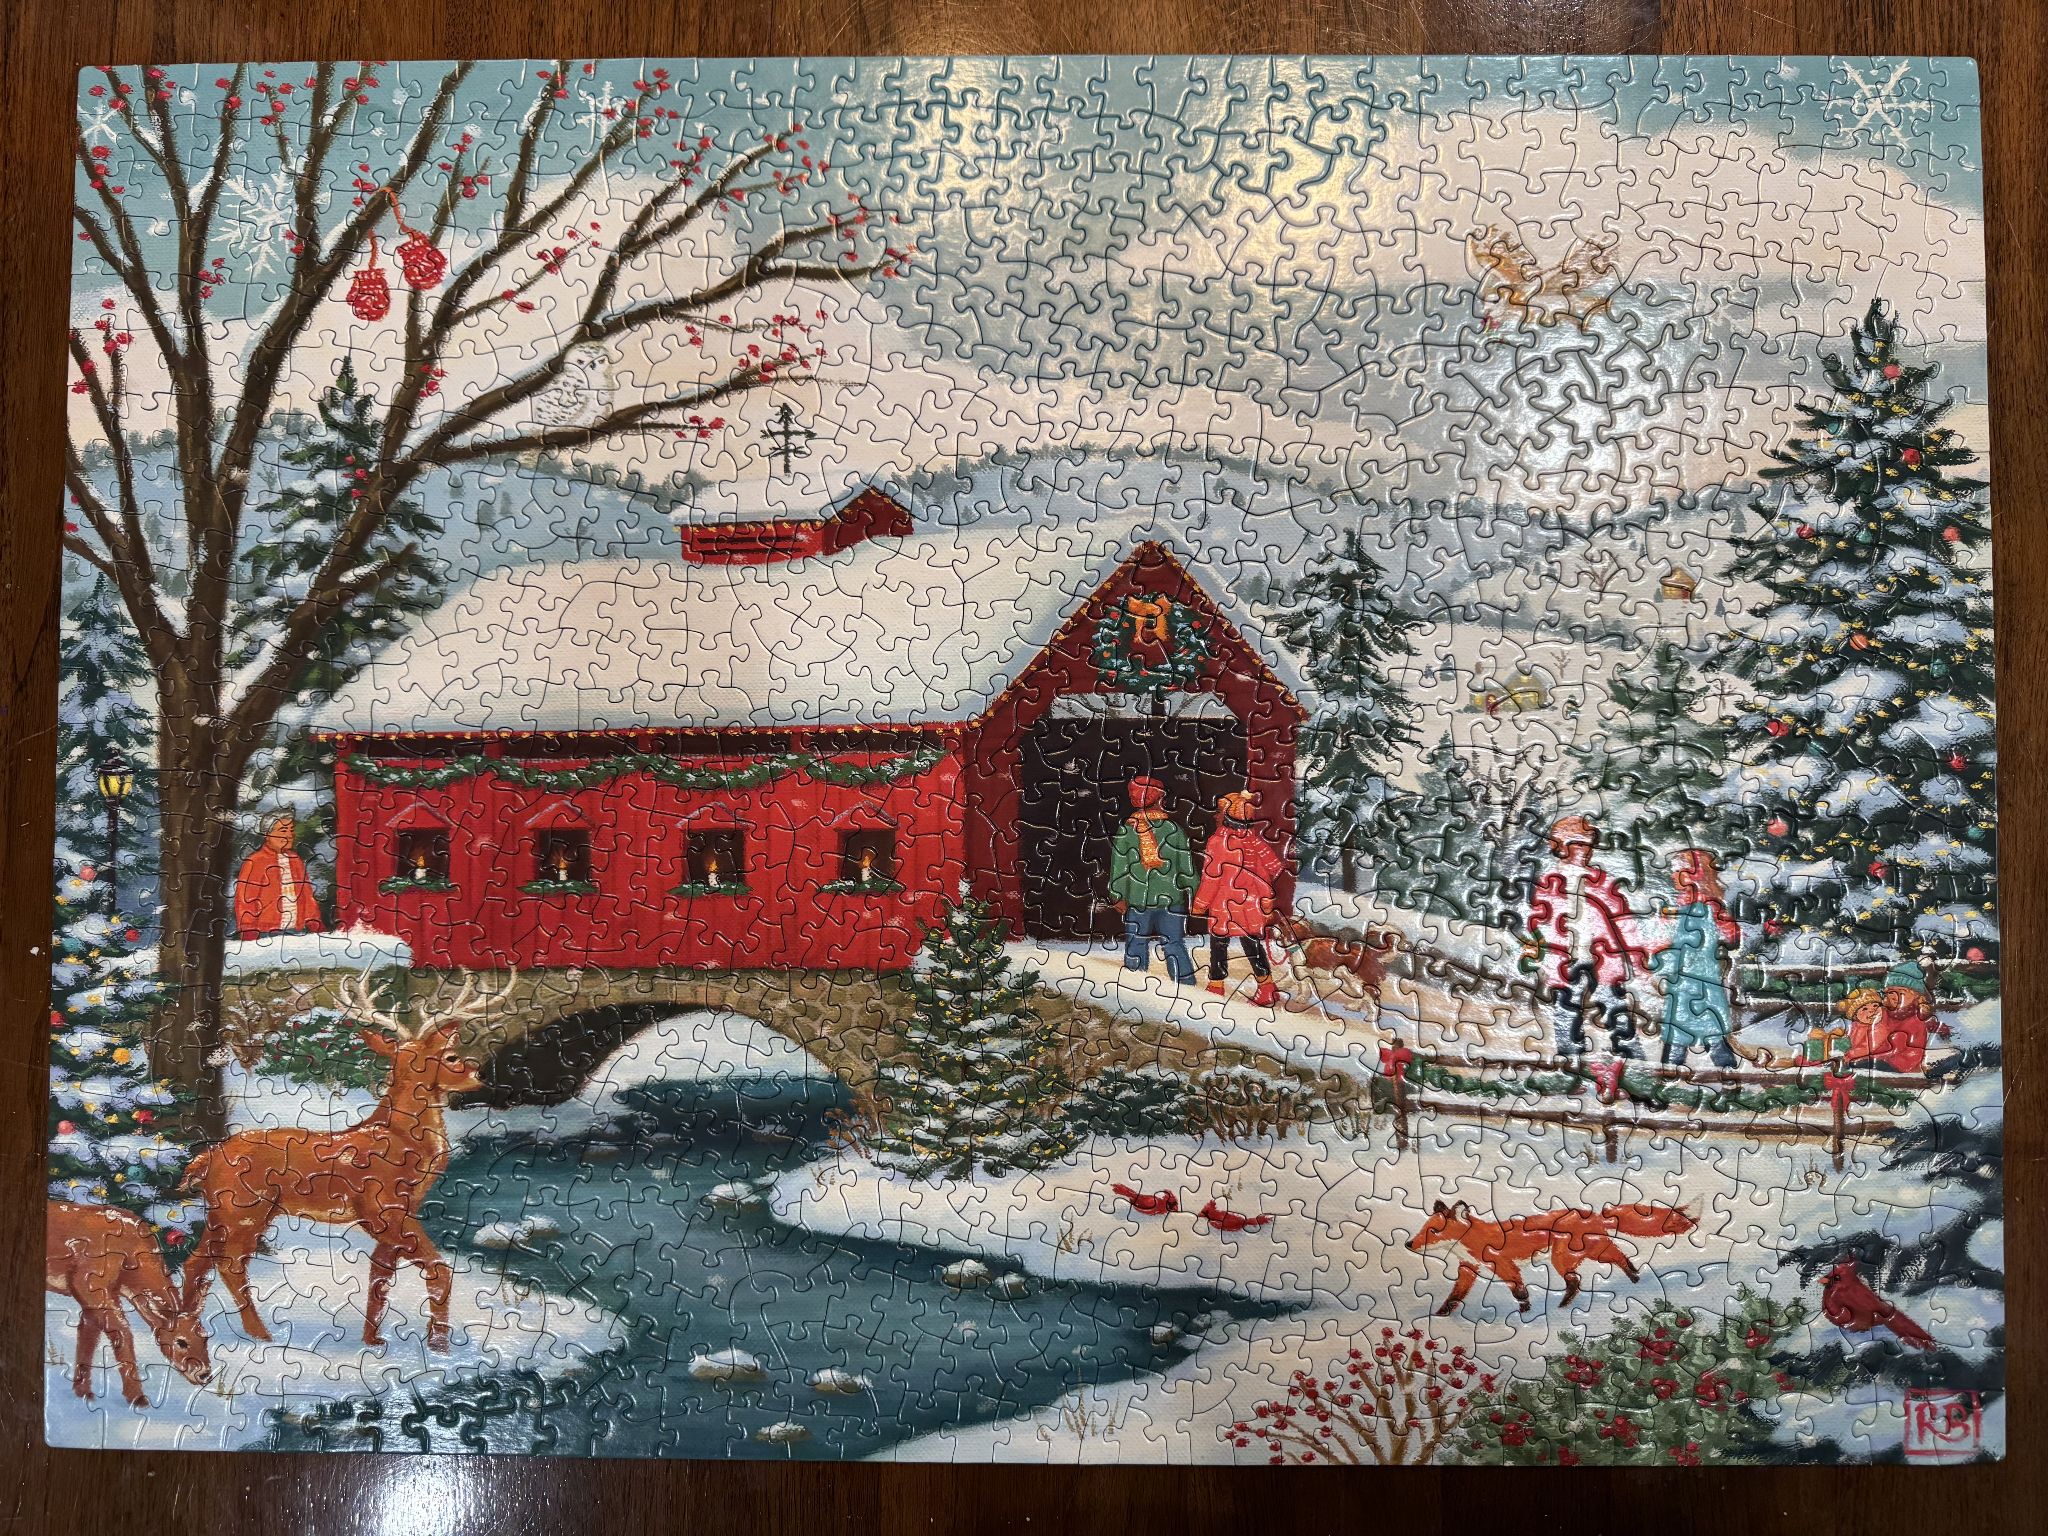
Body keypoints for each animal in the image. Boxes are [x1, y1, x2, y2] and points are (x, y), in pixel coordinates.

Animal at [47, 1200, 212, 1407]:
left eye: (205, 1337)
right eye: (181, 1342)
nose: (205, 1374)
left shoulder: (97, 1296)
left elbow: (88, 1337)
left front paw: (83, 1392)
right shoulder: (87, 1282)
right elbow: (123, 1331)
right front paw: (137, 1398)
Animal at [180, 969, 511, 1353]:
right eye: (452, 1056)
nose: (480, 1075)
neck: (404, 1143)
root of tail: (206, 1157)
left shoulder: (398, 1212)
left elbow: (379, 1276)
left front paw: (373, 1340)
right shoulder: (381, 1208)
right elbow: (437, 1268)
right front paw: (438, 1344)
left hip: (223, 1212)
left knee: (194, 1263)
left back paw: (184, 1329)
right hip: (245, 1210)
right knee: (230, 1265)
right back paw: (260, 1334)